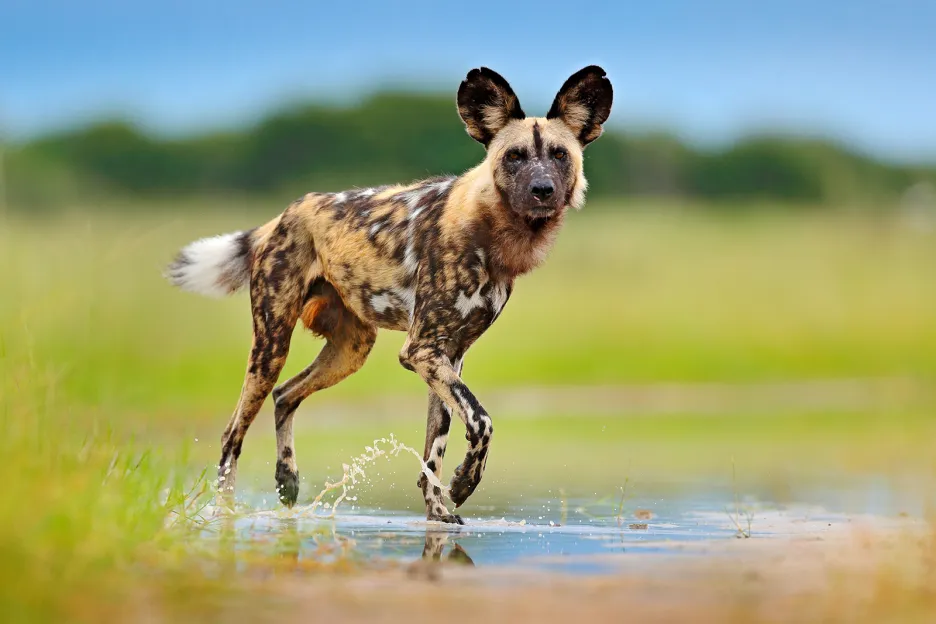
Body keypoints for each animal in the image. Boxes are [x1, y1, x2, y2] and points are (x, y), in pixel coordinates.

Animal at [166, 66, 616, 524]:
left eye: (559, 155)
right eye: (515, 156)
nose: (542, 189)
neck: (492, 231)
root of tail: (284, 215)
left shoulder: (447, 356)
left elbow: (435, 449)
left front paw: (439, 511)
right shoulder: (422, 351)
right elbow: (481, 420)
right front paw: (464, 485)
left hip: (350, 351)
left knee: (286, 394)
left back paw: (287, 479)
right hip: (271, 347)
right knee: (232, 433)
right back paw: (226, 514)